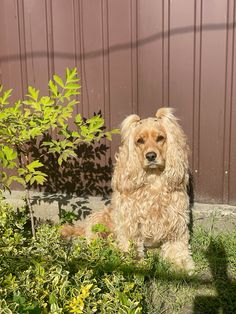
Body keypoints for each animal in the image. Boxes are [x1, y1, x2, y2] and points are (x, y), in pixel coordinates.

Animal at [61, 108, 195, 274]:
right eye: (140, 141)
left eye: (160, 138)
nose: (151, 156)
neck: (153, 181)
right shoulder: (130, 223)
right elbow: (131, 245)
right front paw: (134, 264)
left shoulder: (175, 221)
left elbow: (176, 246)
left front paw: (180, 264)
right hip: (100, 220)